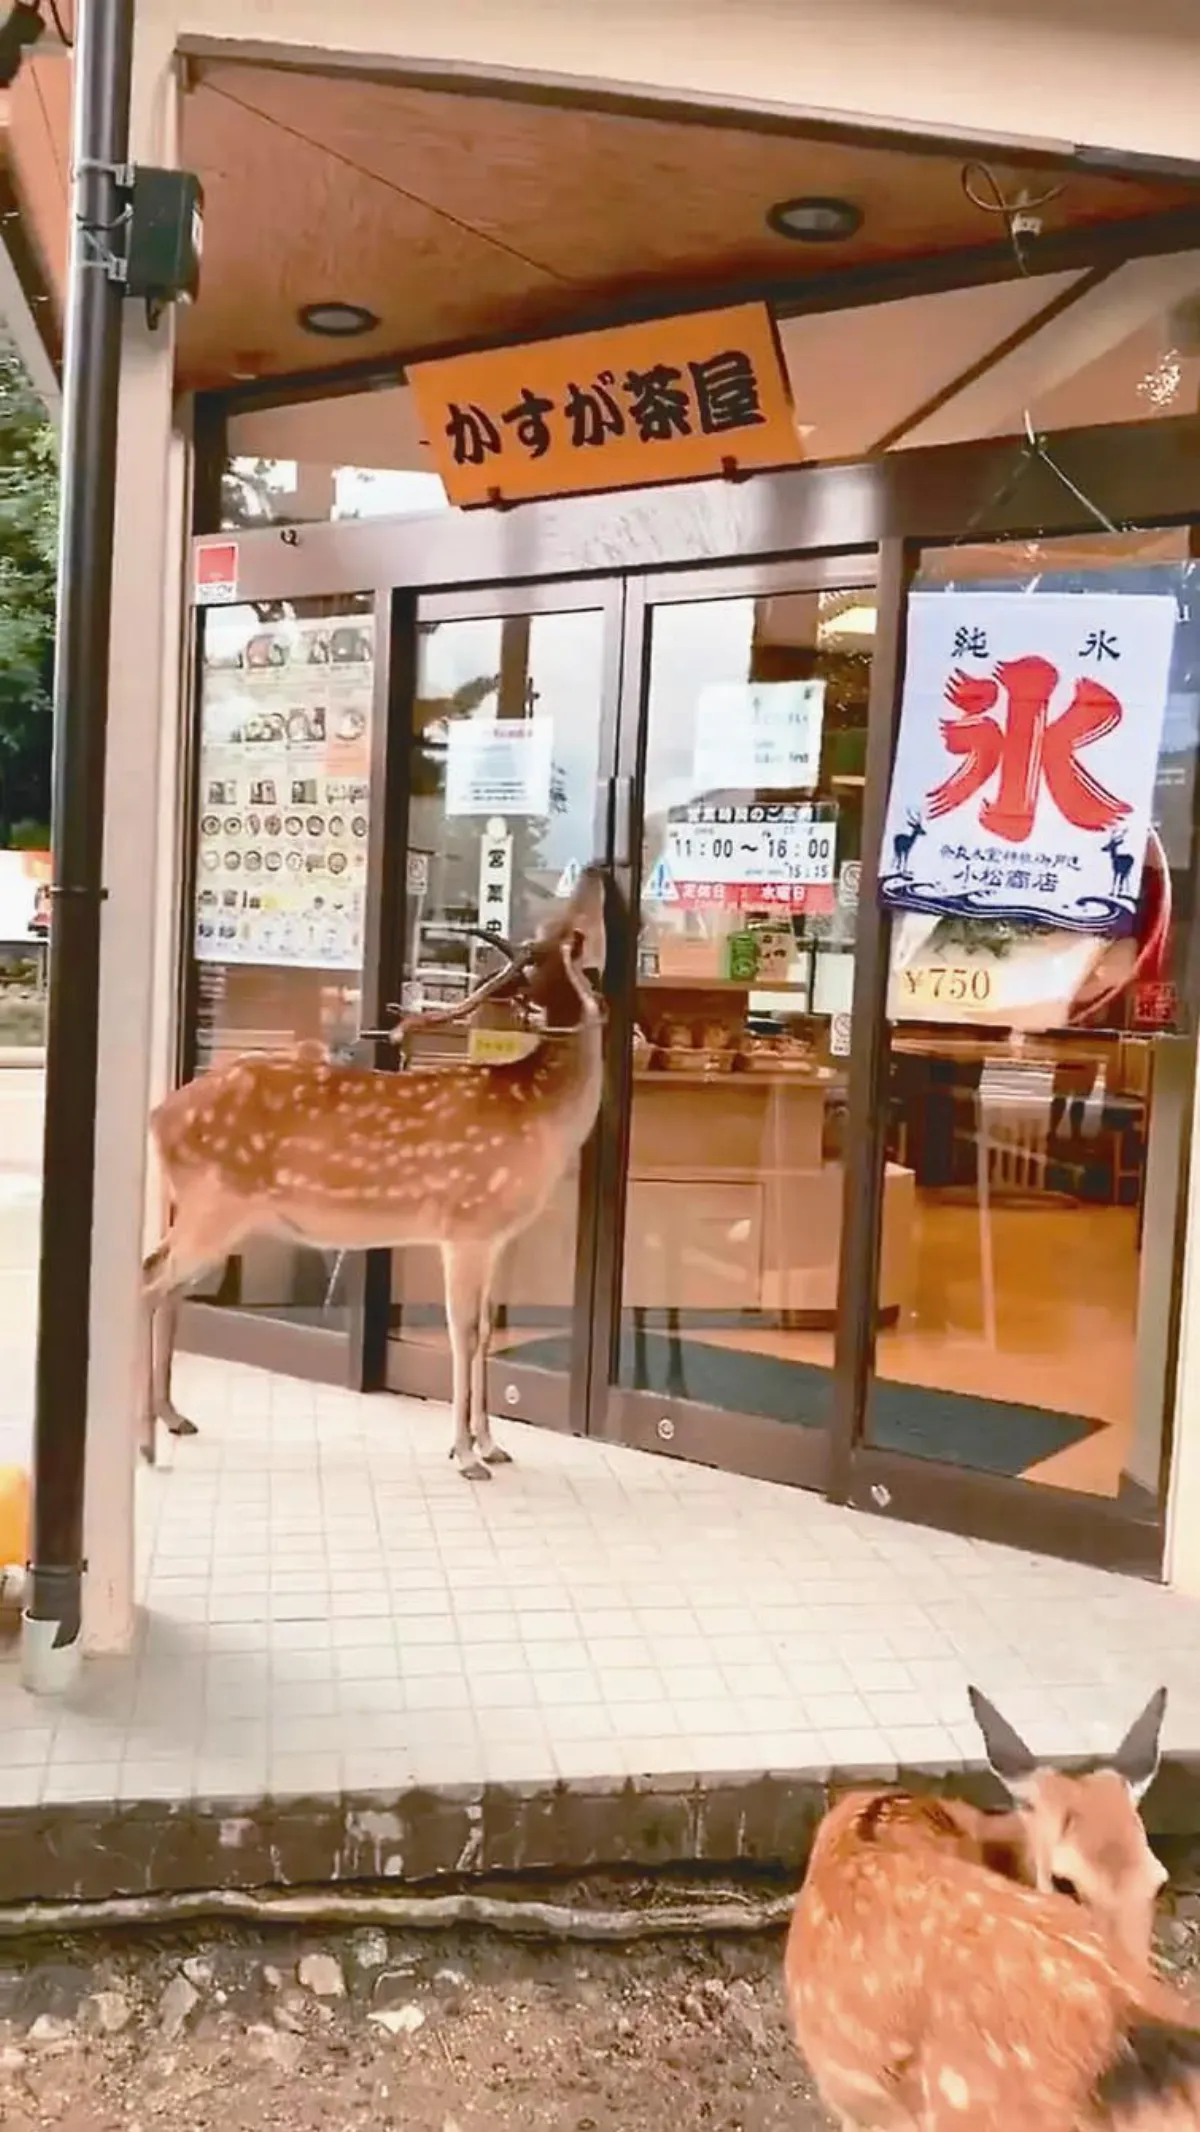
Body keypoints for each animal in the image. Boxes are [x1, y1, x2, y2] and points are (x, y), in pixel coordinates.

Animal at [141, 865, 611, 1479]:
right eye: (571, 929)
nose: (597, 871)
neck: (536, 1119)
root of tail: (158, 1117)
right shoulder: (464, 1224)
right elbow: (463, 1332)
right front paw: (464, 1453)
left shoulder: (498, 1237)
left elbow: (487, 1331)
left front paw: (492, 1443)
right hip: (212, 1204)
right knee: (151, 1281)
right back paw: (147, 1442)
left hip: (216, 1215)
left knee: (162, 1276)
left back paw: (174, 1415)